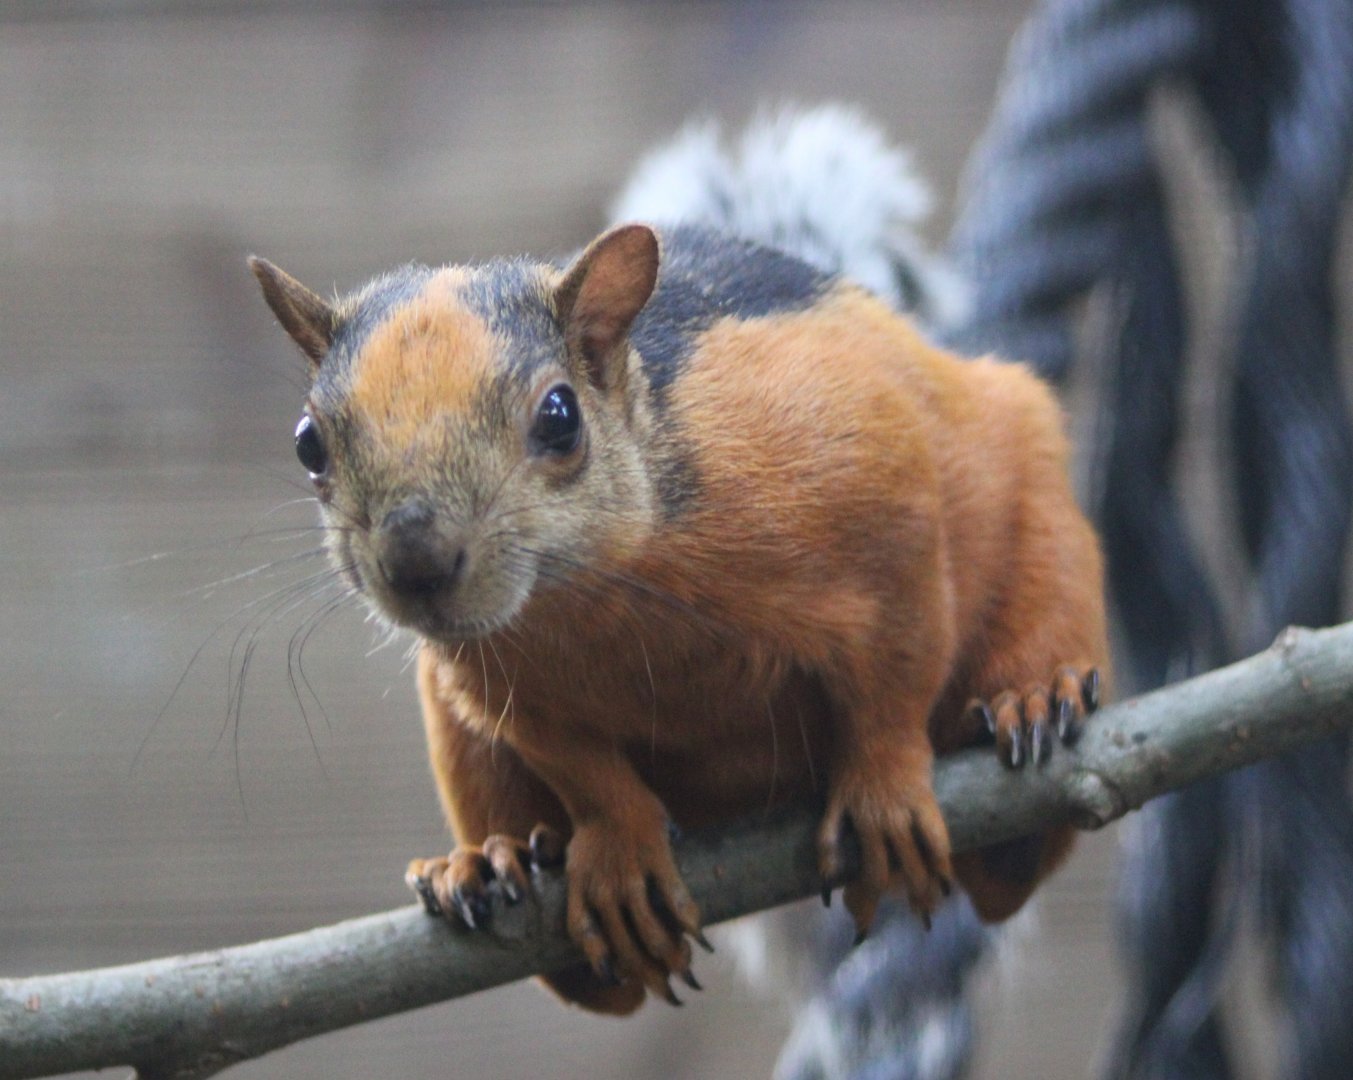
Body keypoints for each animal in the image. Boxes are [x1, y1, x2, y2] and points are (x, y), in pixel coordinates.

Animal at [249, 219, 1108, 1015]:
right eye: (307, 444)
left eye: (559, 416)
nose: (416, 563)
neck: (590, 595)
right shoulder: (496, 687)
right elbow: (582, 771)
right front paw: (621, 857)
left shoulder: (886, 521)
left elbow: (893, 679)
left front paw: (884, 795)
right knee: (593, 981)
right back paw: (488, 862)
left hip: (1036, 512)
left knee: (1011, 844)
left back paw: (1033, 702)